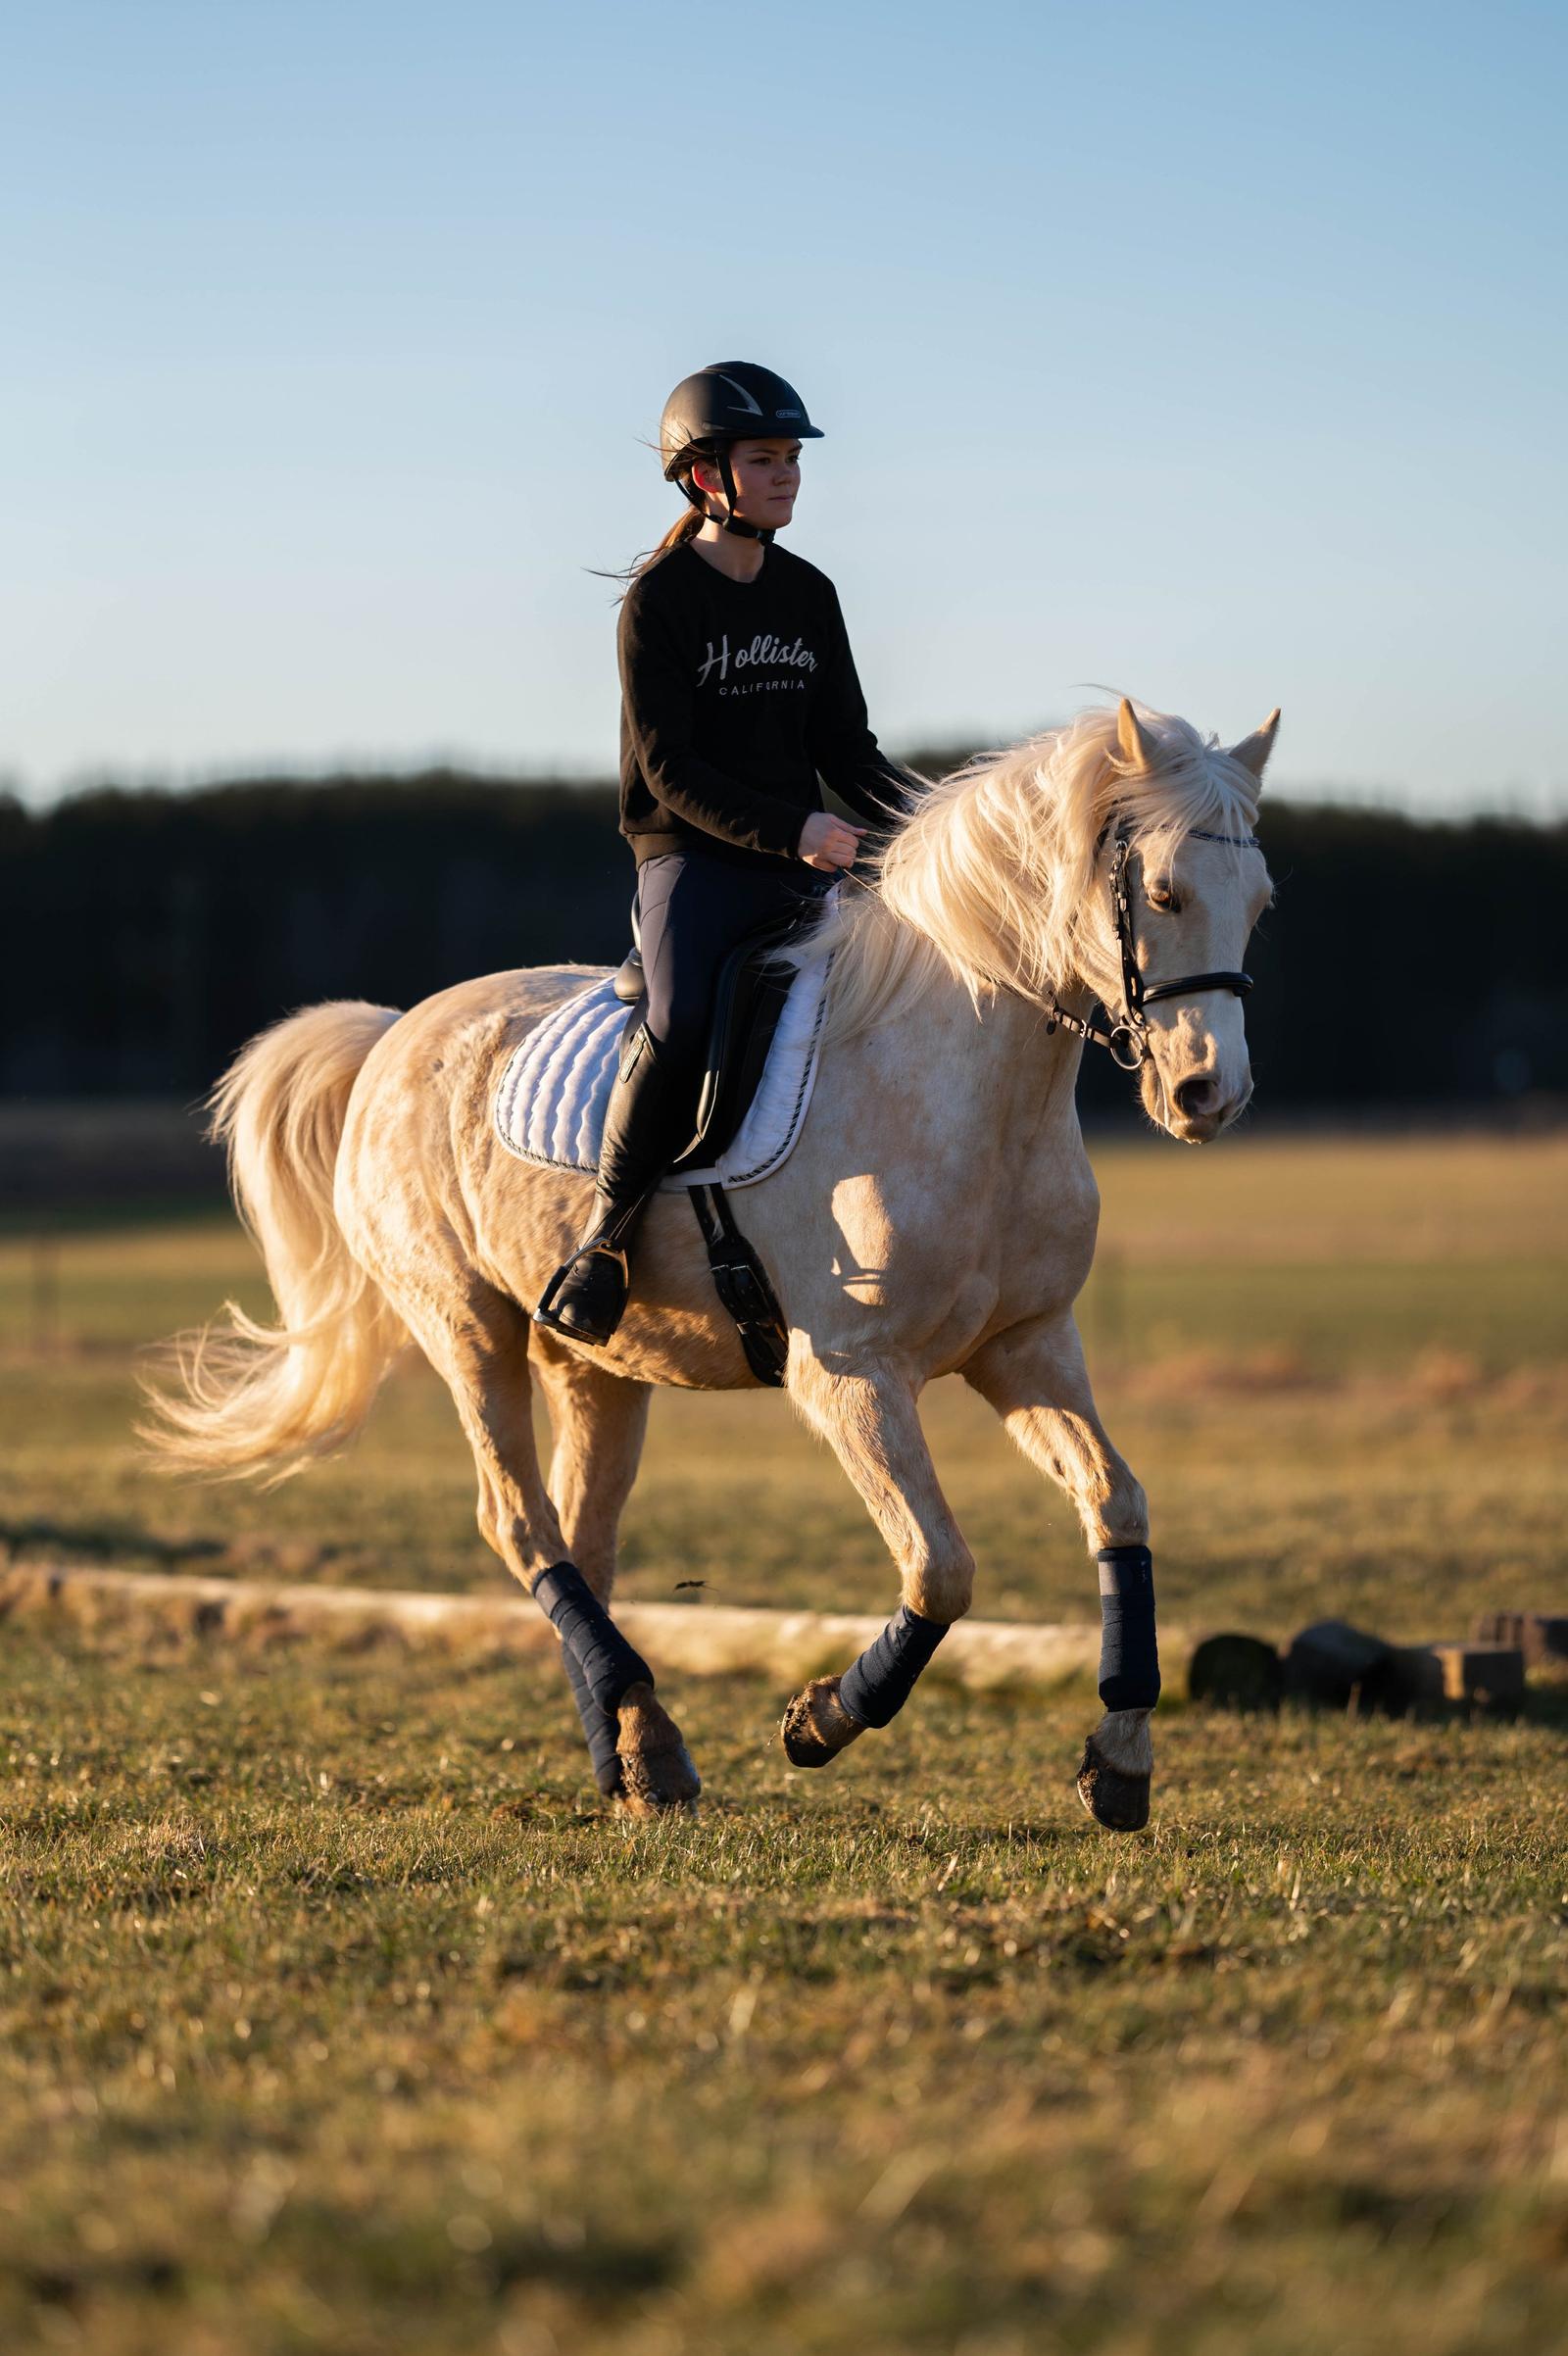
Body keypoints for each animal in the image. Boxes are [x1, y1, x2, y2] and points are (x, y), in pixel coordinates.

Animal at [145, 697, 1278, 1825]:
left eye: (1259, 903)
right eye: (1164, 893)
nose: (1208, 1096)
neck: (971, 1090)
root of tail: (392, 1034)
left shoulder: (1025, 1347)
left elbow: (1117, 1505)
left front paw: (1120, 1757)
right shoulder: (849, 1377)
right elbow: (940, 1567)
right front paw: (820, 1721)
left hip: (594, 1363)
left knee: (582, 1536)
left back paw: (634, 1754)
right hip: (466, 1328)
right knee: (519, 1522)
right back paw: (646, 1741)